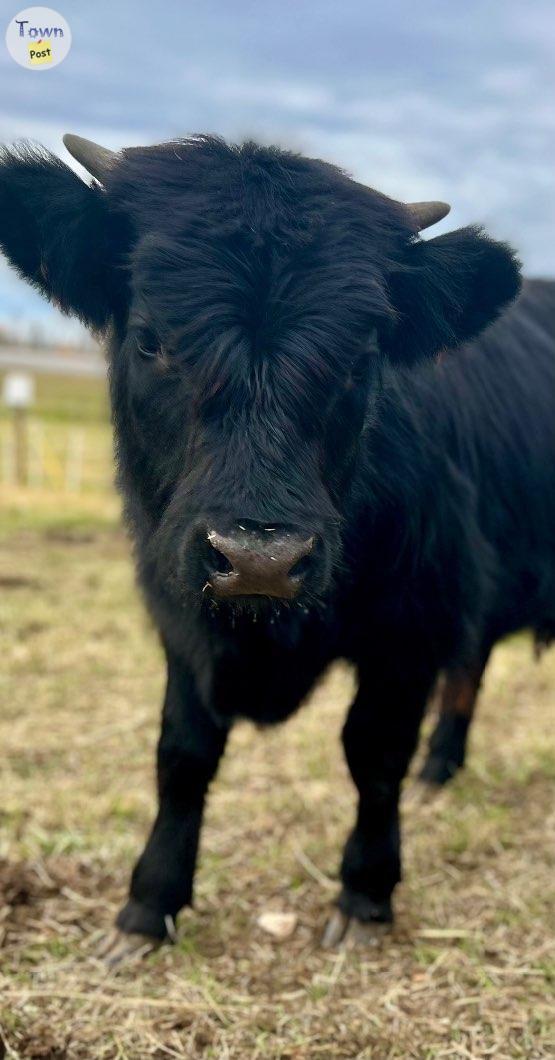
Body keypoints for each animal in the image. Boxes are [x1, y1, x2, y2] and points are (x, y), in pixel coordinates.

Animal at [1, 134, 550, 962]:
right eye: (151, 339)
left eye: (360, 358)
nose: (258, 559)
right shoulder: (179, 614)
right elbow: (181, 755)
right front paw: (147, 905)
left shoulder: (413, 622)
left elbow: (372, 752)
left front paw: (364, 893)